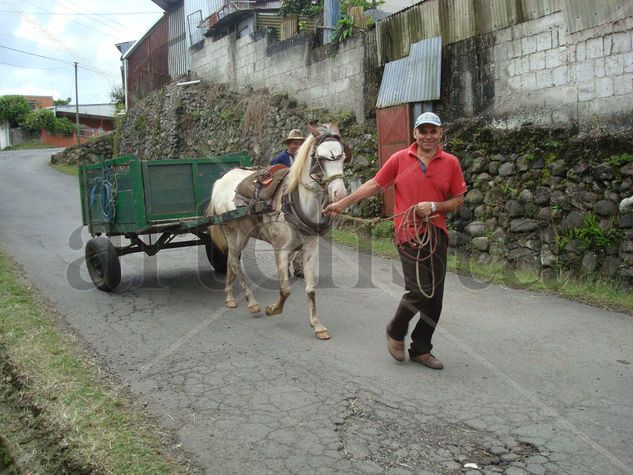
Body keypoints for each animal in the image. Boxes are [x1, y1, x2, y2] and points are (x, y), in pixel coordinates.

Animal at [206, 122, 346, 338]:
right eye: (320, 158)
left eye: (343, 157)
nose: (340, 194)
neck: (294, 203)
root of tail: (221, 181)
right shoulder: (281, 249)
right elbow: (285, 290)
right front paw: (273, 309)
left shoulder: (310, 247)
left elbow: (310, 288)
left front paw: (317, 325)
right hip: (232, 230)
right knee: (234, 261)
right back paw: (251, 302)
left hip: (242, 234)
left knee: (230, 260)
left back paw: (229, 296)